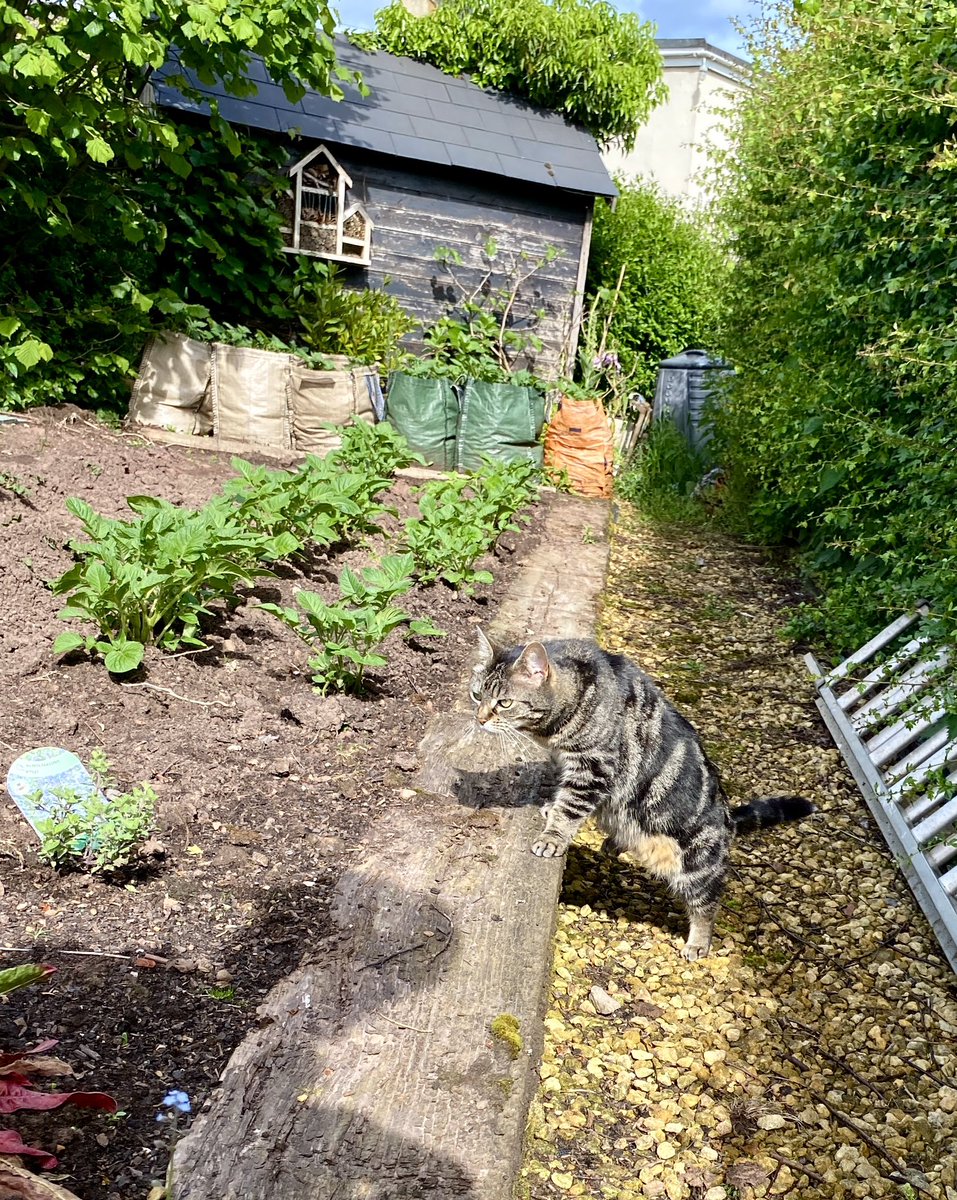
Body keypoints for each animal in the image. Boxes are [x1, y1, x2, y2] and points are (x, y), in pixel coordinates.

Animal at [472, 633, 815, 960]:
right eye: (477, 695)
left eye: (504, 703)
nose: (480, 718)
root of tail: (728, 818)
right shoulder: (570, 764)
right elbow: (563, 795)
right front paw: (551, 809)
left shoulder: (594, 767)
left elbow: (571, 806)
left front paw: (553, 835)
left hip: (697, 866)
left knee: (708, 903)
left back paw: (699, 942)